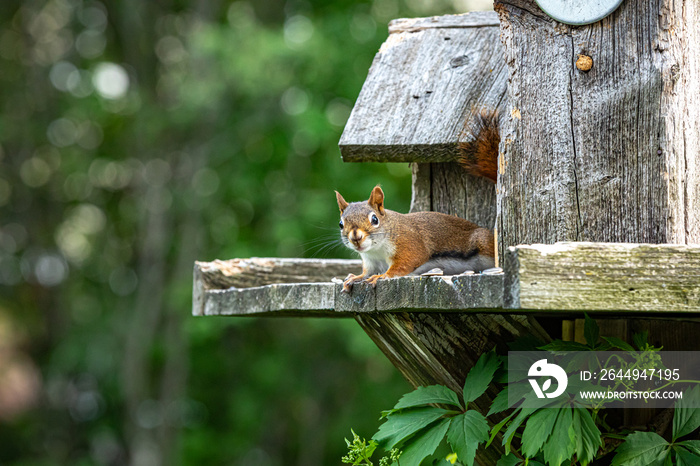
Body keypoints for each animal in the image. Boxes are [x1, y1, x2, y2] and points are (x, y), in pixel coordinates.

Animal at [334, 109, 498, 292]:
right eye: (341, 224)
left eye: (374, 219)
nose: (356, 237)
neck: (376, 250)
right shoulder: (371, 261)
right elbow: (366, 272)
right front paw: (354, 277)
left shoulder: (409, 244)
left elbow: (404, 264)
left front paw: (382, 276)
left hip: (482, 242)